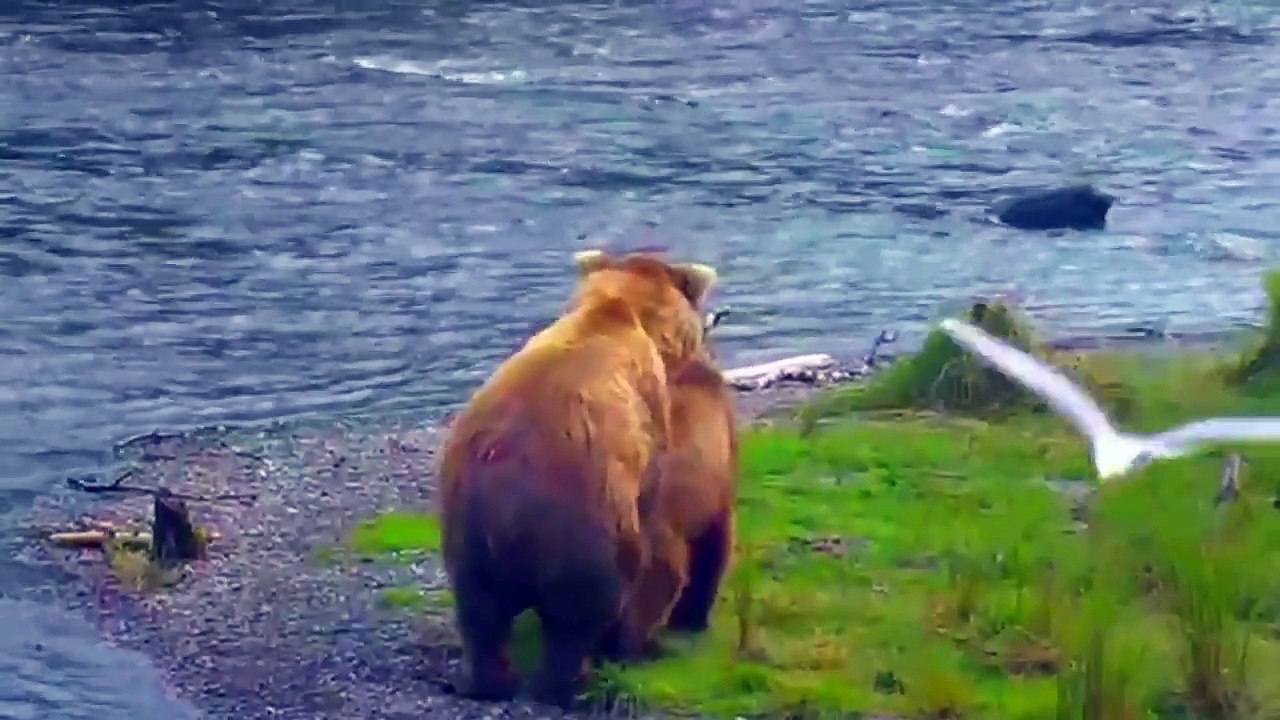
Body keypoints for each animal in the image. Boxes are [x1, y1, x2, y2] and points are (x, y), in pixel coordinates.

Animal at [436, 249, 718, 710]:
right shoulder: (646, 418)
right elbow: (652, 492)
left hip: (465, 524)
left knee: (479, 611)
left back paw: (485, 681)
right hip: (582, 519)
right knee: (581, 611)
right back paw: (569, 683)